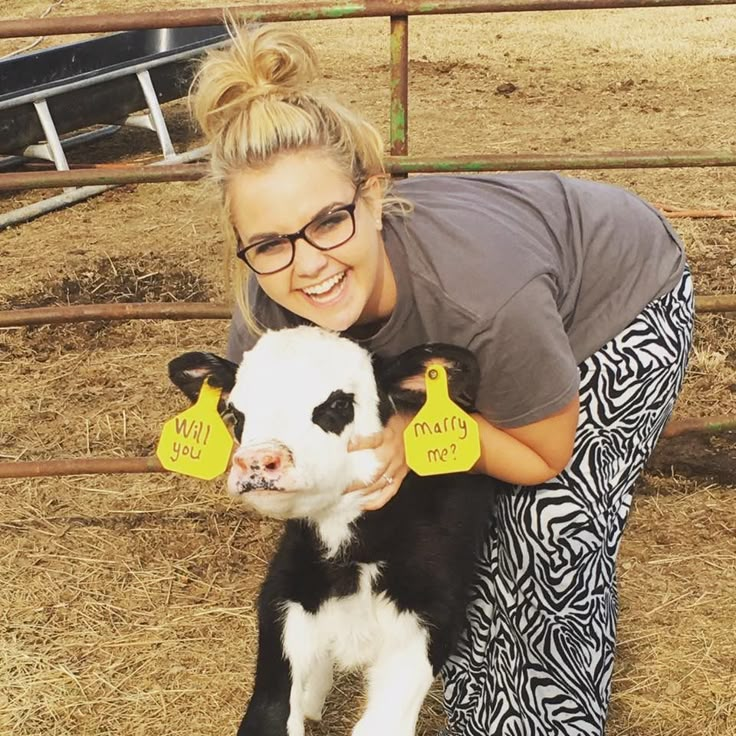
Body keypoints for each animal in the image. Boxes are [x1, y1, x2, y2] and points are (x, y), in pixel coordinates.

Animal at [169, 326, 504, 736]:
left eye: (339, 404)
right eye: (236, 413)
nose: (258, 461)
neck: (352, 558)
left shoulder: (431, 615)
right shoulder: (286, 590)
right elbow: (271, 712)